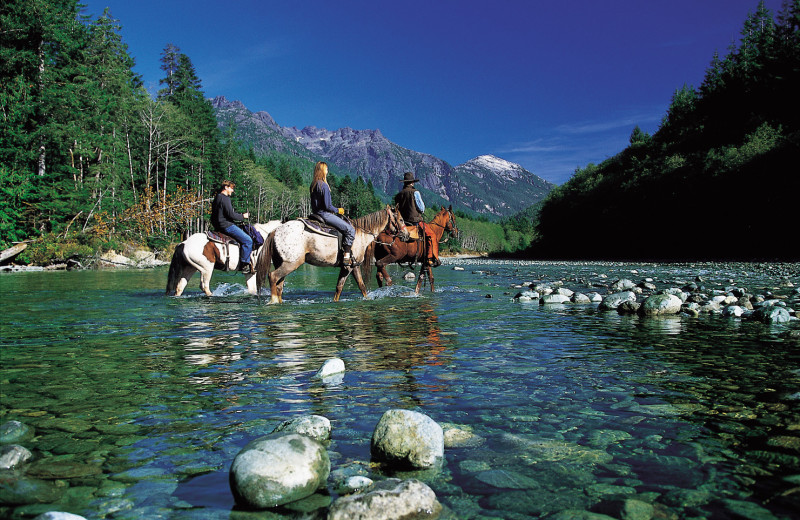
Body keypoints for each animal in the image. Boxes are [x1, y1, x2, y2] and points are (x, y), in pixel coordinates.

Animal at [256, 206, 406, 304]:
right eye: (401, 219)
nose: (406, 235)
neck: (361, 234)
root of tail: (275, 230)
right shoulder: (349, 267)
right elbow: (350, 285)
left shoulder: (353, 266)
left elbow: (353, 286)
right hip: (291, 263)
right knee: (273, 276)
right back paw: (273, 301)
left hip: (281, 263)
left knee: (279, 285)